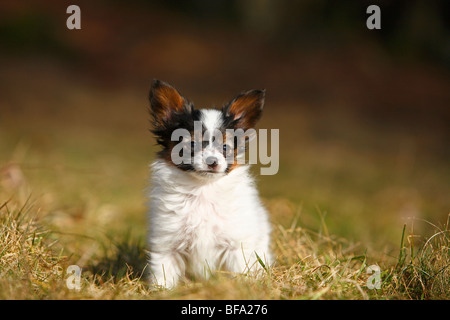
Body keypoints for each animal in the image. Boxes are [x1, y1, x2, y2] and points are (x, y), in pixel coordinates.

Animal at [149, 79, 272, 288]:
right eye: (191, 145)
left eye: (225, 147)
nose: (212, 162)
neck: (203, 190)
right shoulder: (167, 246)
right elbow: (163, 276)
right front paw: (162, 291)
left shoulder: (236, 245)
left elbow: (241, 271)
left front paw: (244, 289)